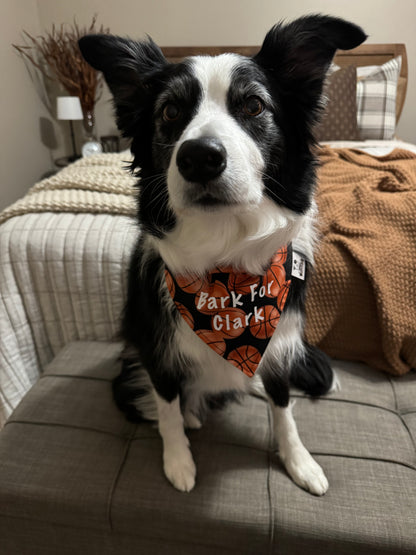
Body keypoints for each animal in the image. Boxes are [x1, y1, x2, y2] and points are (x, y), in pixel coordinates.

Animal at [79, 15, 366, 496]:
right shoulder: (156, 349)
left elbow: (283, 408)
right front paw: (178, 461)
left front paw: (299, 461)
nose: (199, 157)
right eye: (170, 112)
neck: (226, 264)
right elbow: (168, 409)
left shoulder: (279, 341)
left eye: (253, 105)